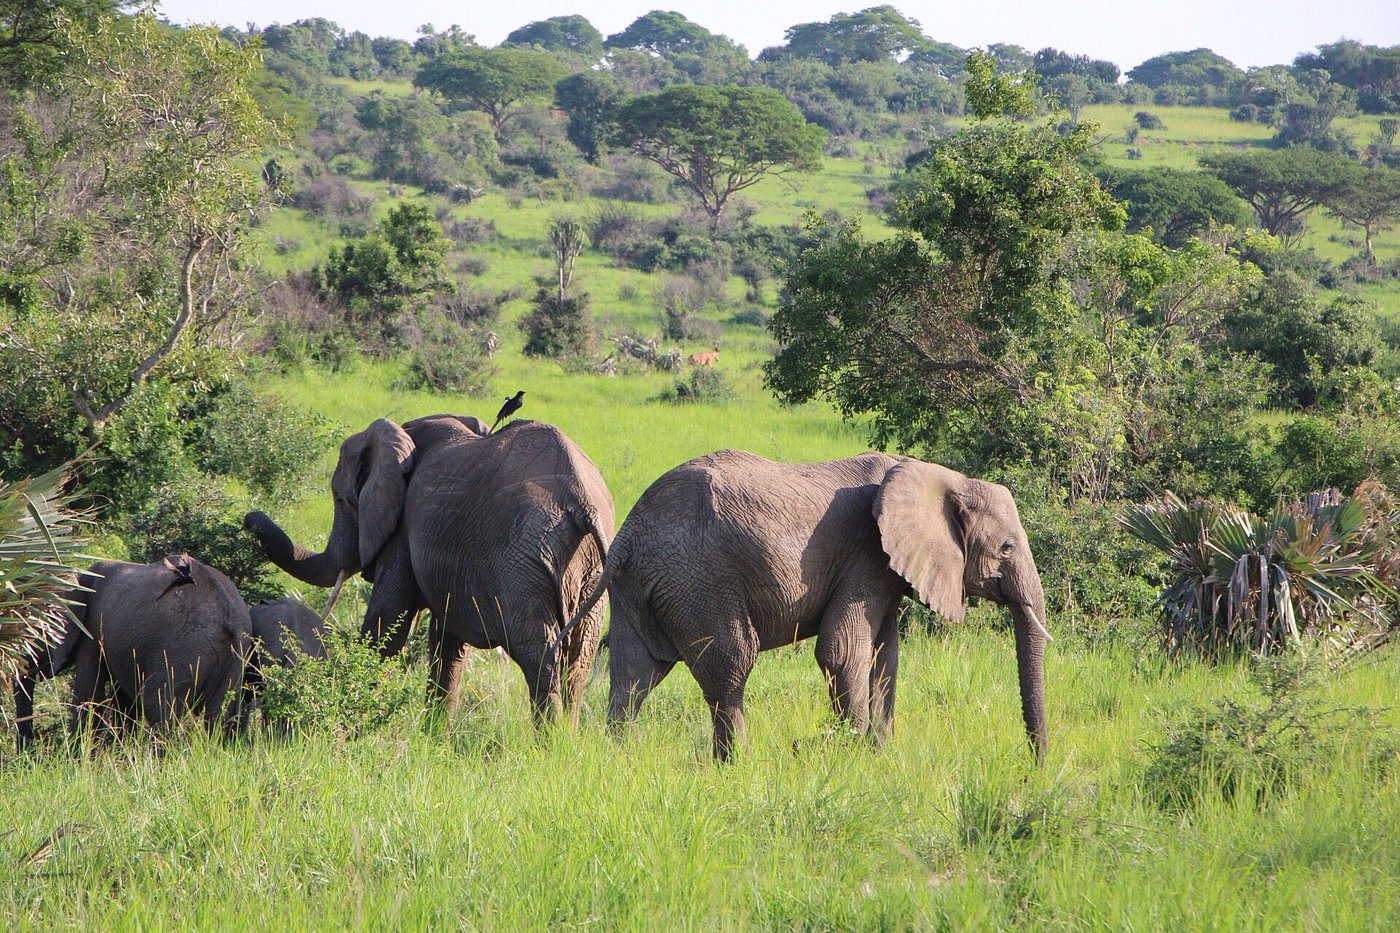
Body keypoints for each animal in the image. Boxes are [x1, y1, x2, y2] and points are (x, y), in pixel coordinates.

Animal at [13, 551, 253, 750]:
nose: (27, 758)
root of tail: (227, 612)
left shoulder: (93, 631)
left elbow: (89, 694)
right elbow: (124, 702)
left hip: (184, 648)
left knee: (157, 705)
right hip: (234, 655)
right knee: (217, 714)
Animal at [245, 414, 613, 717]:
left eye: (341, 499)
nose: (250, 518)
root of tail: (580, 500)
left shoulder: (403, 531)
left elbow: (386, 627)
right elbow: (448, 645)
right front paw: (434, 740)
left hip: (523, 559)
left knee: (540, 657)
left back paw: (550, 744)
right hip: (591, 569)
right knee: (577, 660)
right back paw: (566, 740)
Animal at [557, 448, 1052, 762]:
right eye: (1007, 548)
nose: (1035, 765)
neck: (940, 476)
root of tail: (628, 535)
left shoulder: (886, 569)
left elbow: (885, 656)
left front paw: (882, 754)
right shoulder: (867, 555)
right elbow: (841, 650)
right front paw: (857, 753)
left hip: (639, 587)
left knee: (635, 675)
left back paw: (620, 759)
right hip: (699, 580)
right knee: (730, 666)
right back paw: (738, 766)